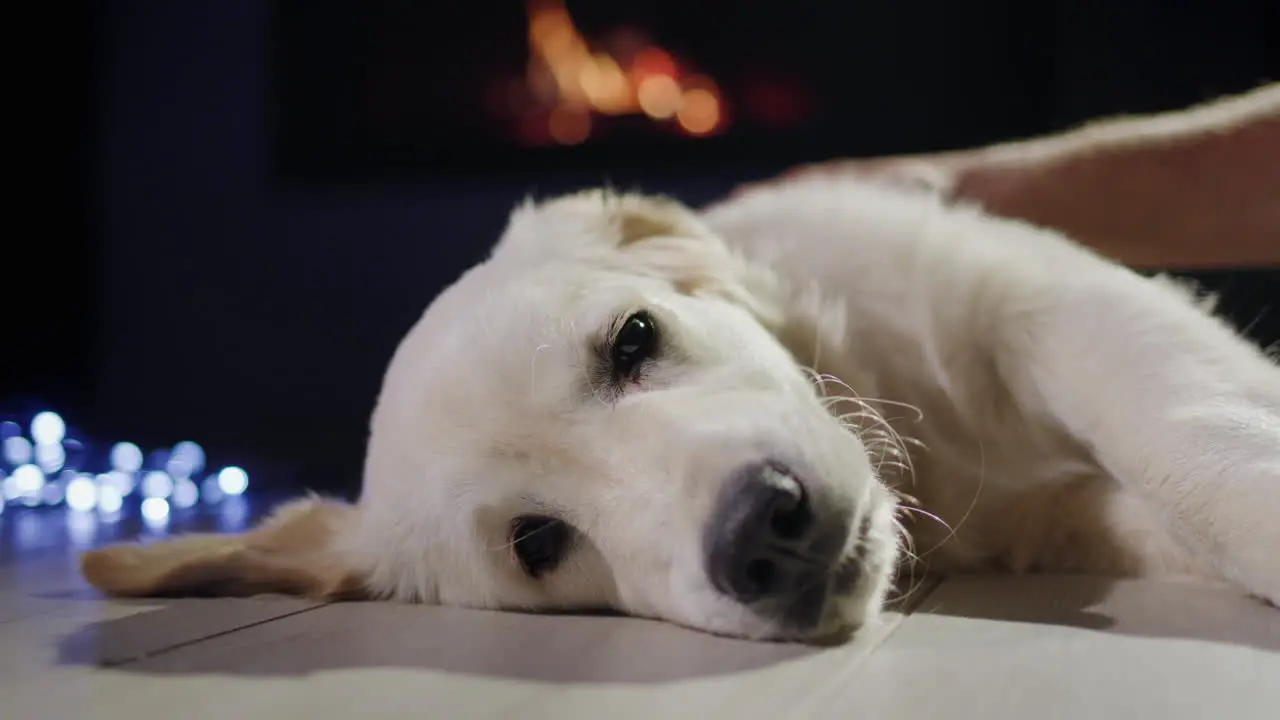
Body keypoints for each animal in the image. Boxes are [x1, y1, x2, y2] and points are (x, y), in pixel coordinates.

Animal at [82, 176, 1280, 640]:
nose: (767, 535)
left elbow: (1184, 441)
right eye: (538, 543)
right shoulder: (1054, 516)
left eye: (633, 341)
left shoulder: (1040, 301)